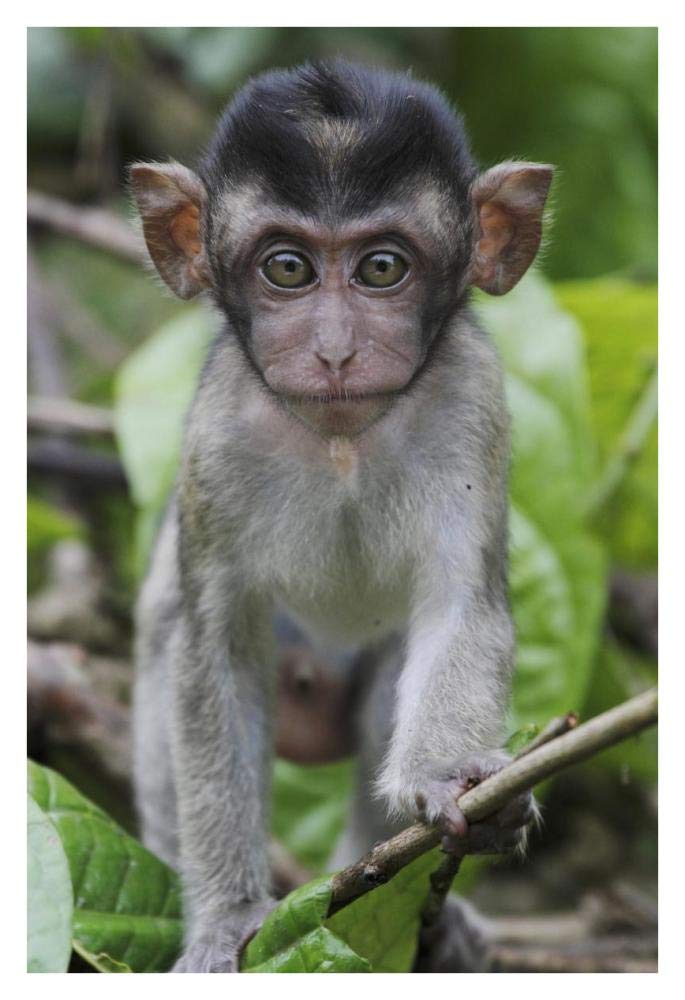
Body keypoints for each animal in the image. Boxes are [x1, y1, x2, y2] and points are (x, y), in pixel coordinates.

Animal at [130, 61, 553, 973]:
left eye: (382, 268)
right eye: (287, 269)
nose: (333, 351)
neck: (340, 442)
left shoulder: (471, 400)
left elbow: (459, 607)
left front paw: (452, 783)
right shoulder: (216, 432)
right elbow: (212, 646)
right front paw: (224, 919)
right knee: (165, 636)